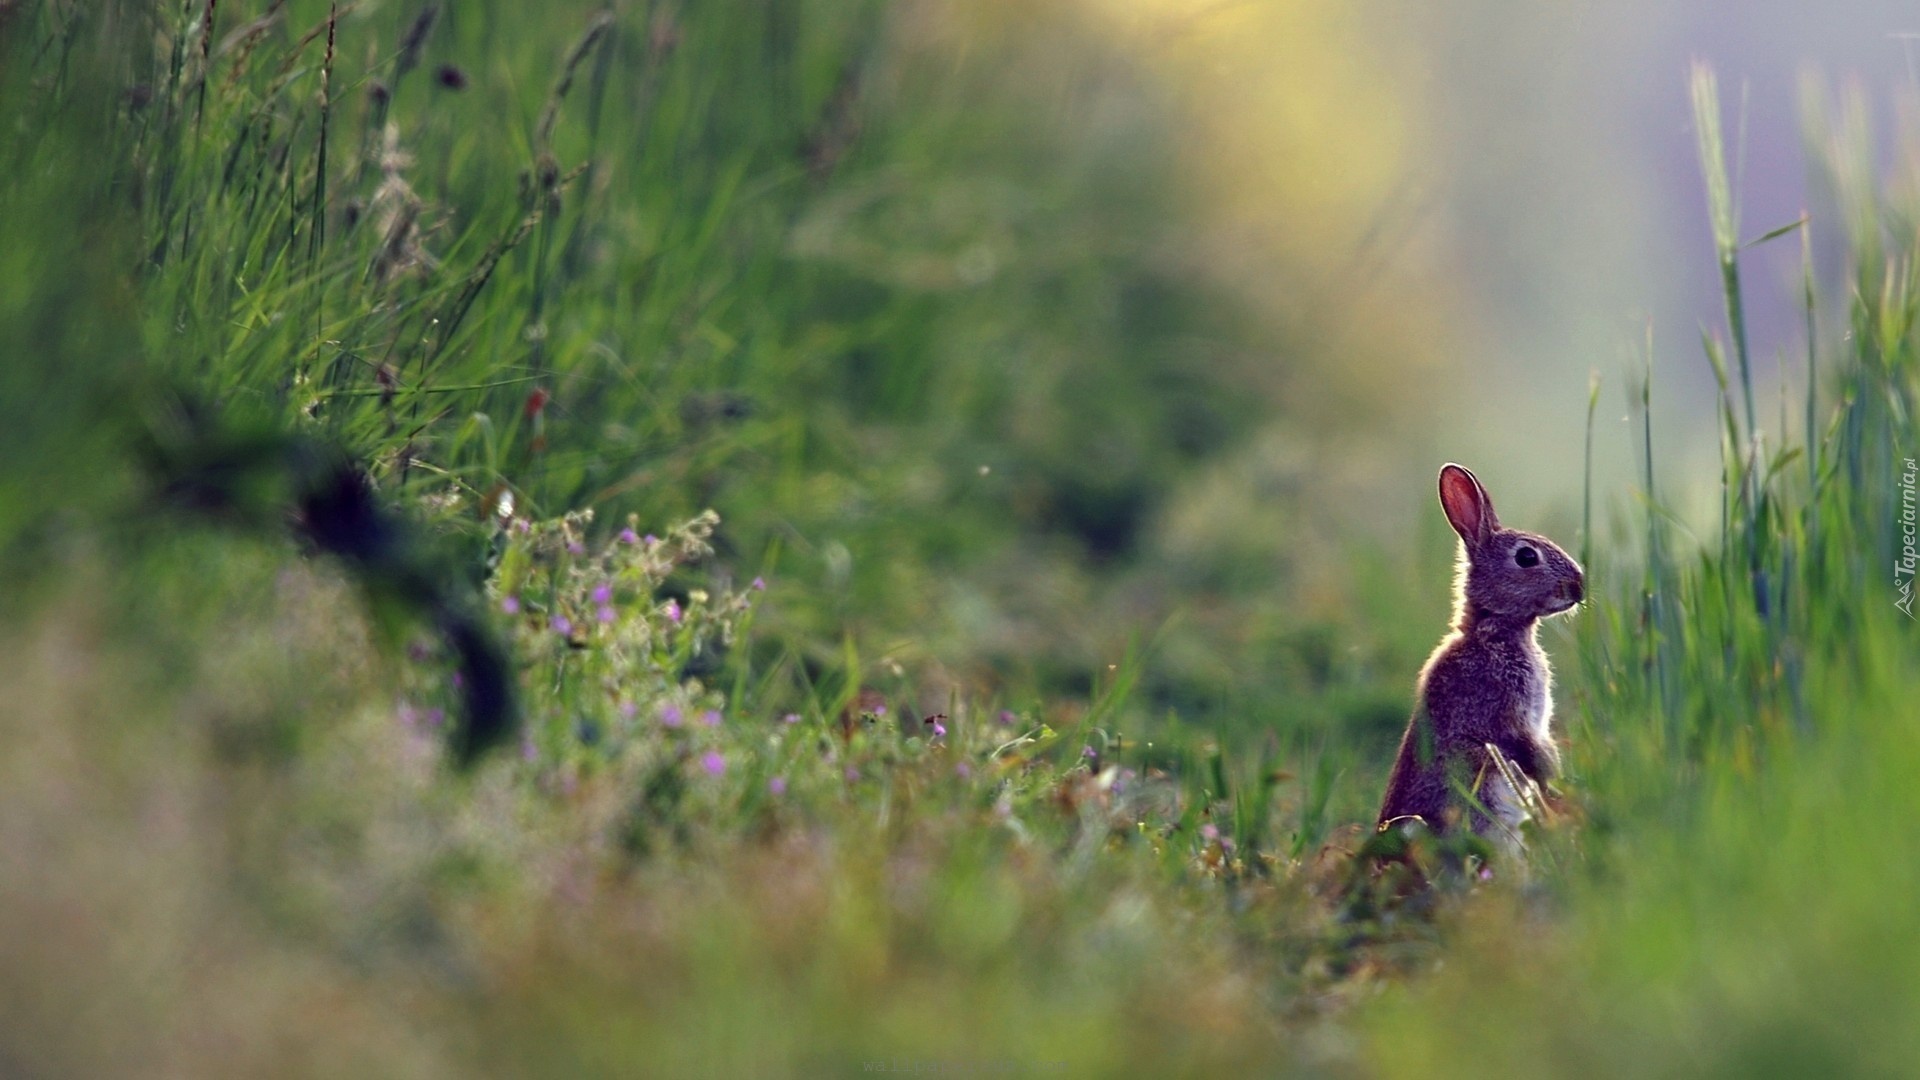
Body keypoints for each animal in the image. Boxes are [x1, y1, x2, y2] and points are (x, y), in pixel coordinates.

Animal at [1382, 461, 1589, 857]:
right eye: (1527, 557)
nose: (1579, 586)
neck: (1492, 629)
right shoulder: (1510, 716)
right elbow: (1535, 754)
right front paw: (1559, 795)